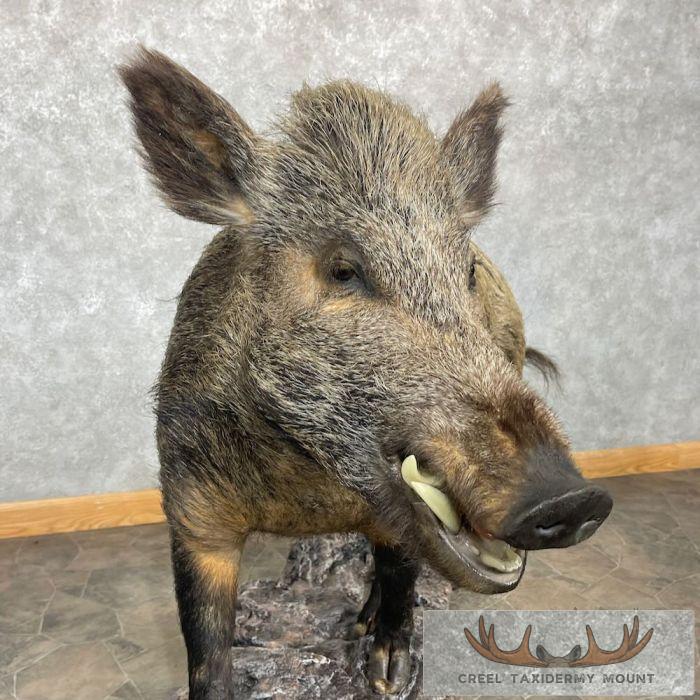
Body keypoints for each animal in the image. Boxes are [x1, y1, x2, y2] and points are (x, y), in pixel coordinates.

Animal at [119, 48, 612, 698]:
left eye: (465, 270)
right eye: (342, 270)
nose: (574, 498)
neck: (307, 489)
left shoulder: (396, 519)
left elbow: (401, 570)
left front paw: (387, 676)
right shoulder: (191, 506)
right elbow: (204, 642)